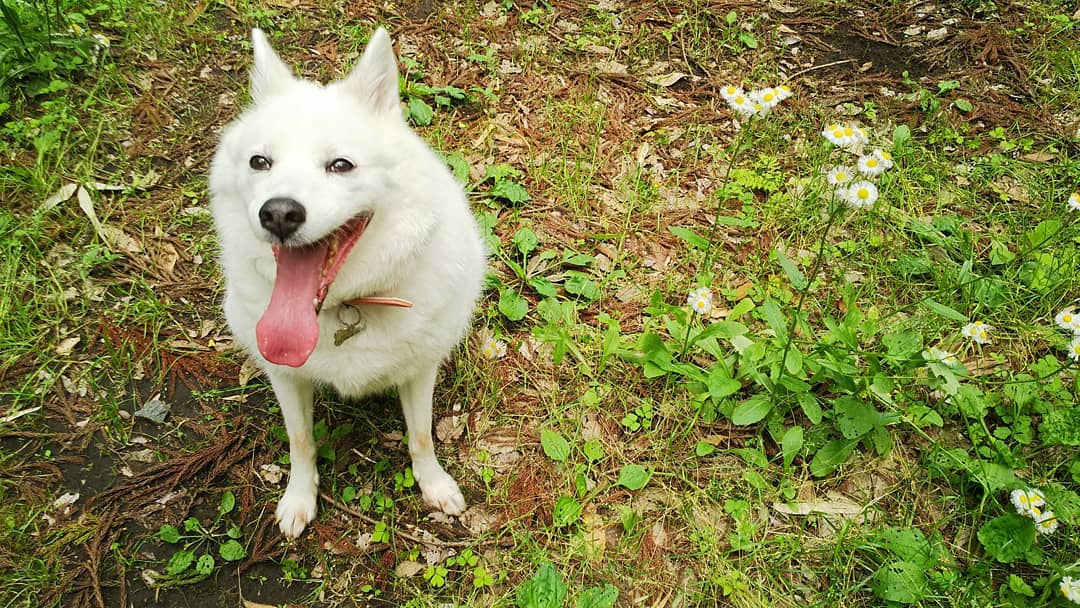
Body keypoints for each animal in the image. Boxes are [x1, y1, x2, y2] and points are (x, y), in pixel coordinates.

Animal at [207, 27, 486, 537]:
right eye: (260, 162)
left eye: (341, 165)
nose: (279, 213)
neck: (342, 306)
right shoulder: (285, 376)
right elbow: (300, 441)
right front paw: (300, 496)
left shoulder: (420, 372)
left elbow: (421, 437)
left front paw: (434, 484)